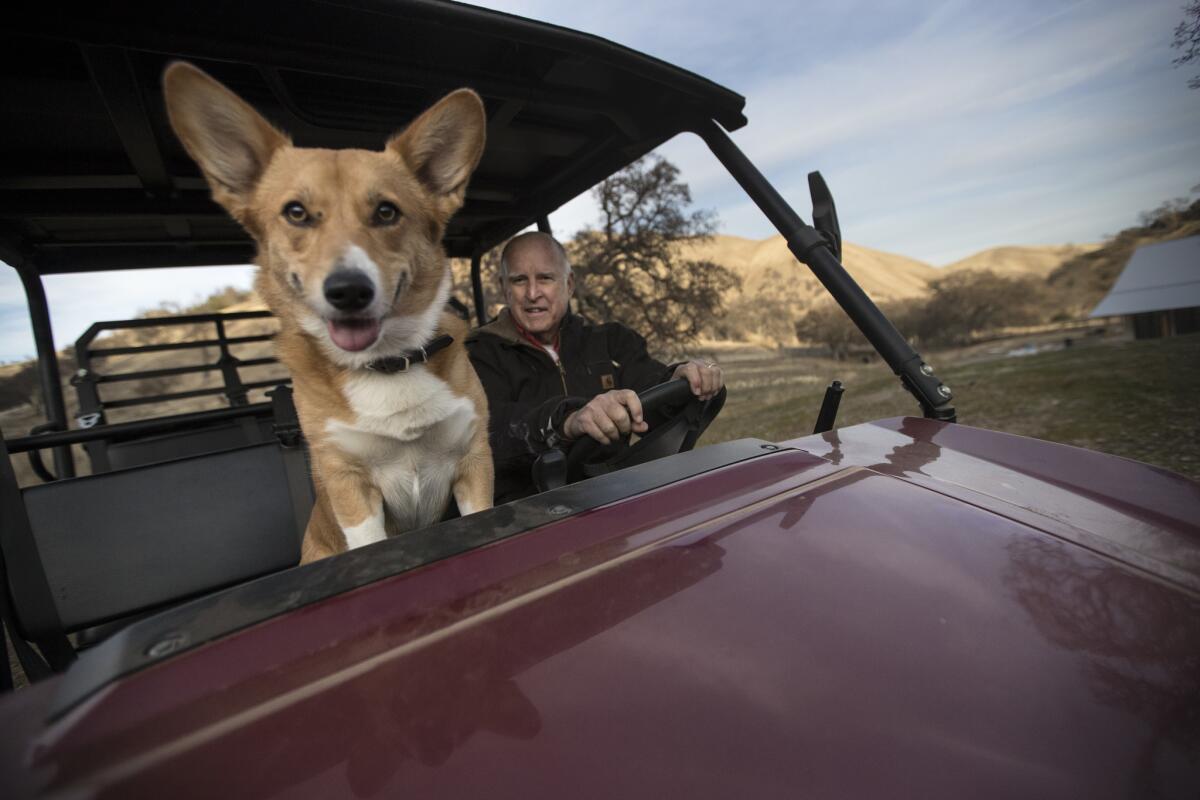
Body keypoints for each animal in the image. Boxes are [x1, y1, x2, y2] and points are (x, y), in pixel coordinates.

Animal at [164, 61, 492, 563]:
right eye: (296, 212)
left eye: (386, 212)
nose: (348, 291)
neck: (388, 364)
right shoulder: (348, 485)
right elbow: (367, 541)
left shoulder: (473, 462)